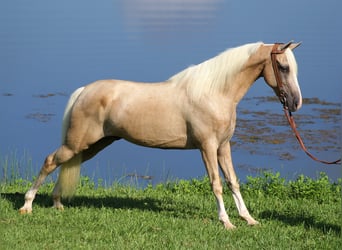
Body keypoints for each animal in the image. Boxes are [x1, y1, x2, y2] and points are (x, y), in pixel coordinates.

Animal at [19, 42, 302, 229]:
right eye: (283, 67)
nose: (296, 103)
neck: (215, 92)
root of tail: (84, 90)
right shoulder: (207, 147)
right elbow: (217, 184)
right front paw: (227, 222)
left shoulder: (223, 146)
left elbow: (233, 181)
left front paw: (248, 218)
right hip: (78, 143)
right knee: (50, 161)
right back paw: (27, 205)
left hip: (92, 146)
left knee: (63, 163)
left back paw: (57, 203)